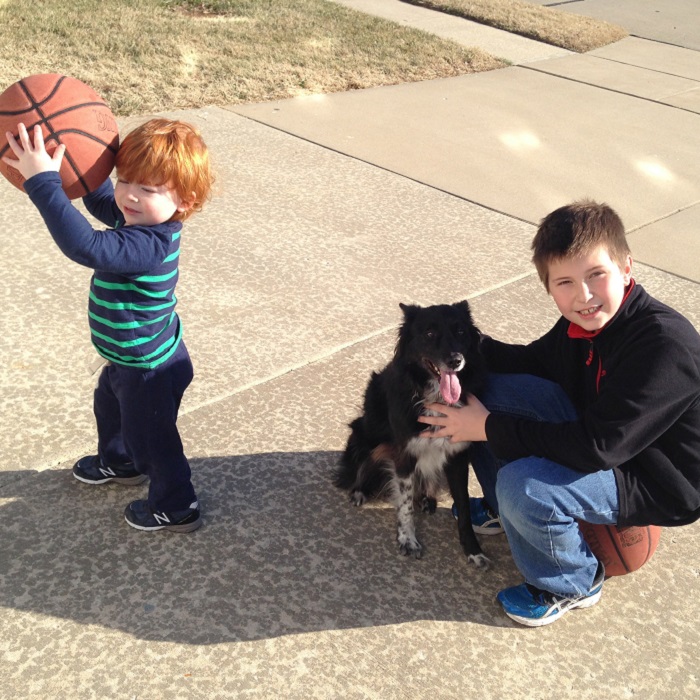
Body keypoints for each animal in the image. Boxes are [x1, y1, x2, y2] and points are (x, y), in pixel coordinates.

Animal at [334, 302, 490, 568]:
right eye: (429, 333)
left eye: (460, 331)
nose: (455, 360)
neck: (436, 397)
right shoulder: (404, 454)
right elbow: (405, 504)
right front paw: (407, 540)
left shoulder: (457, 456)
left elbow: (464, 507)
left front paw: (473, 550)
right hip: (364, 434)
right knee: (360, 467)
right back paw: (359, 491)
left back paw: (427, 498)